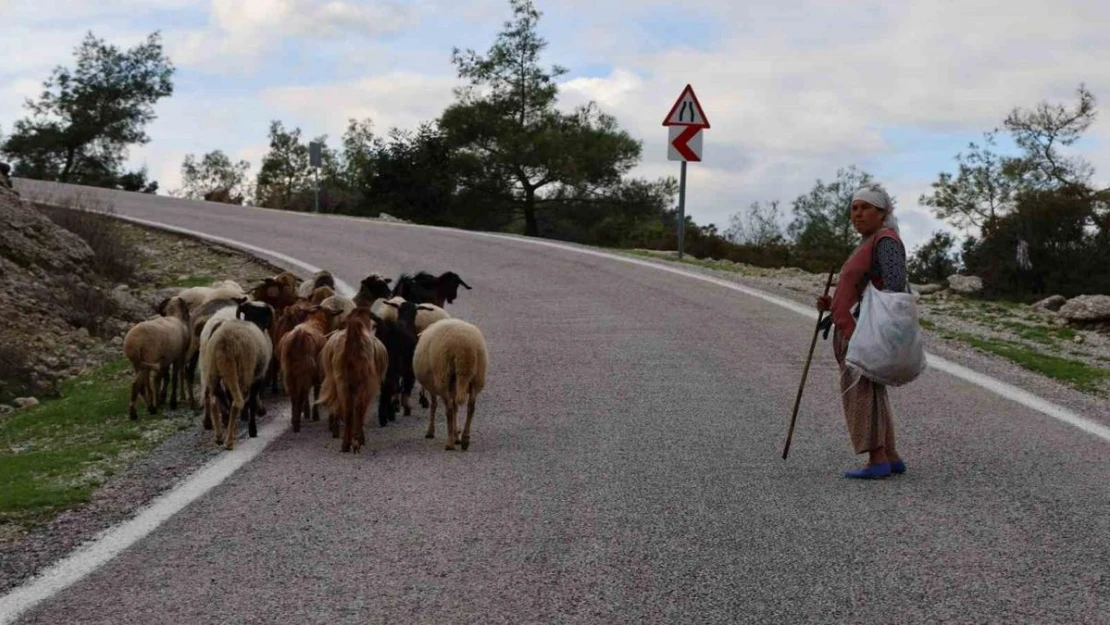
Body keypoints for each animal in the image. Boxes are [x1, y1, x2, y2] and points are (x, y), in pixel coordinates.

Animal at [317, 306, 390, 452]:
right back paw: (357, 441)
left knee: (348, 411)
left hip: (342, 383)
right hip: (364, 383)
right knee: (358, 409)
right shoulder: (369, 387)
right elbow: (361, 410)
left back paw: (346, 444)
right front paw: (360, 439)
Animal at [415, 317, 488, 450]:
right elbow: (455, 407)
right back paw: (465, 439)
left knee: (448, 410)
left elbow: (434, 405)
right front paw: (456, 434)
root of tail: (463, 347)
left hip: (443, 375)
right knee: (471, 407)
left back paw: (449, 443)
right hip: (477, 377)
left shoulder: (434, 386)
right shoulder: (453, 388)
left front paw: (431, 431)